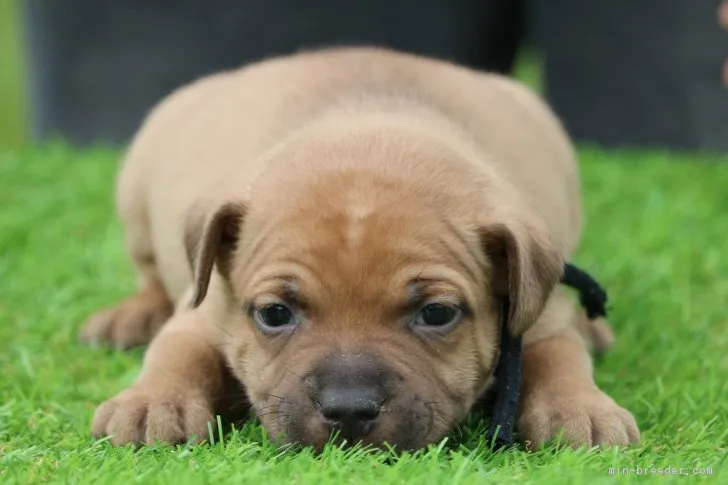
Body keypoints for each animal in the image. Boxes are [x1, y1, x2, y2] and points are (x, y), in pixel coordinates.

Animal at [79, 47, 636, 448]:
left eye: (437, 314)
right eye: (274, 314)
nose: (348, 409)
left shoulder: (540, 314)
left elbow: (559, 357)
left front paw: (579, 407)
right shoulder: (204, 311)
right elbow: (178, 352)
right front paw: (153, 402)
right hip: (137, 192)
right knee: (149, 273)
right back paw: (129, 316)